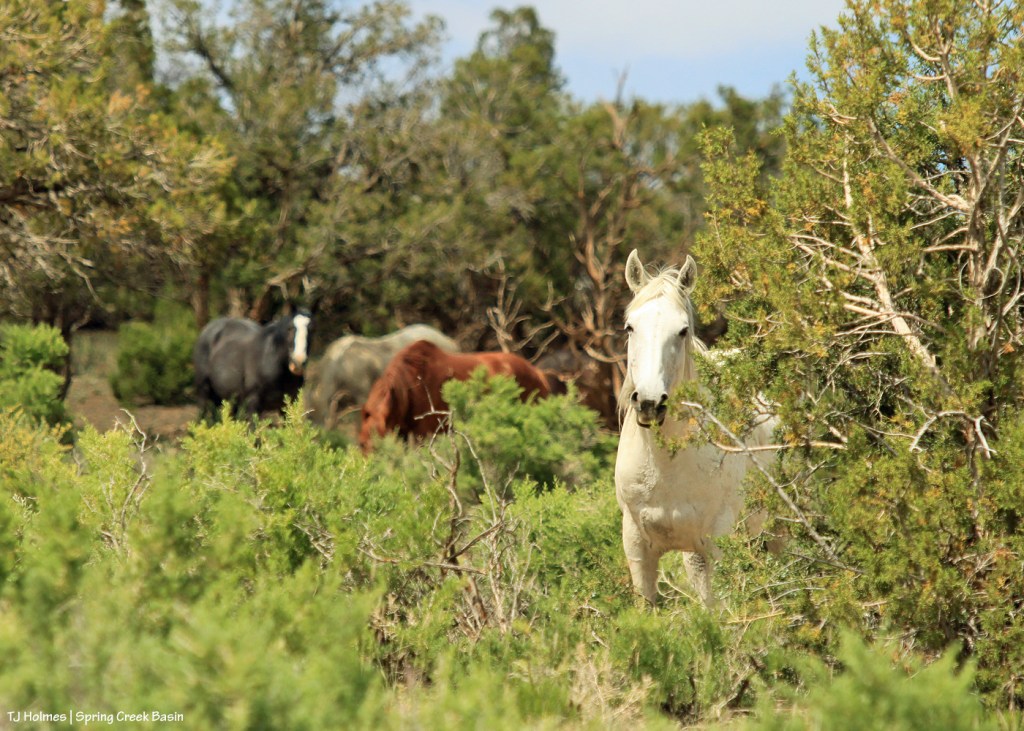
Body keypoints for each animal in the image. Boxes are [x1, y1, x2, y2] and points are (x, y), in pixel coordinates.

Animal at [614, 250, 775, 606]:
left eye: (682, 330)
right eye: (630, 327)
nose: (649, 402)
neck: (666, 465)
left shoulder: (719, 544)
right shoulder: (638, 550)